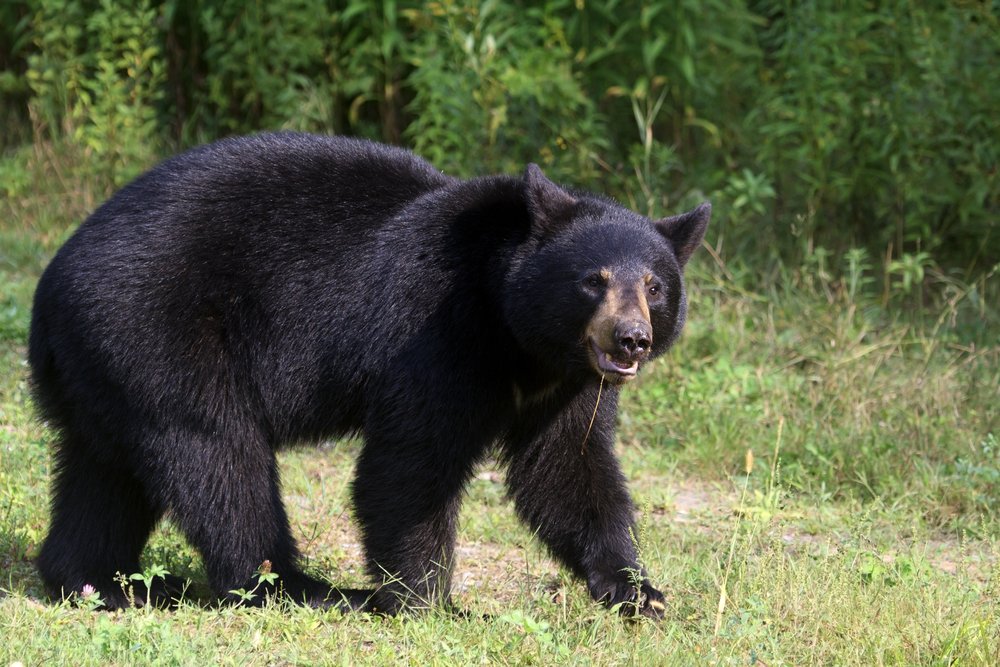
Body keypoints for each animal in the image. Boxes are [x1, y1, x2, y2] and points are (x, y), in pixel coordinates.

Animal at [29, 132, 710, 617]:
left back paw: (96, 582)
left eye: (655, 286)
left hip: (106, 369)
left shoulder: (569, 384)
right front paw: (428, 601)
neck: (522, 340)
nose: (632, 339)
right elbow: (410, 462)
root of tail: (51, 289)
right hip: (160, 332)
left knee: (105, 474)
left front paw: (636, 589)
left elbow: (567, 467)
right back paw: (299, 588)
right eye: (593, 280)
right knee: (218, 457)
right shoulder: (436, 331)